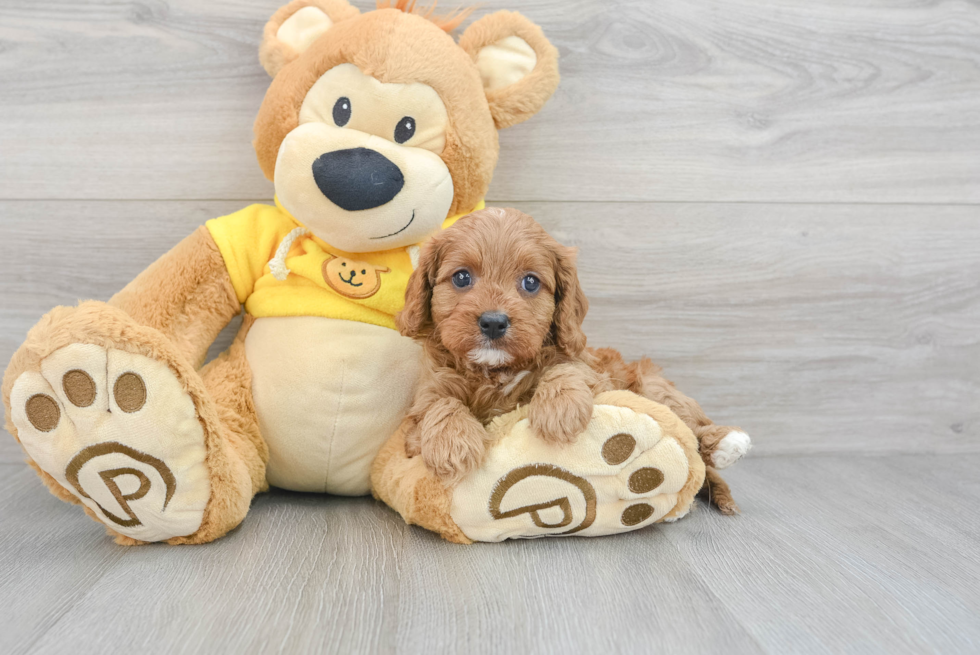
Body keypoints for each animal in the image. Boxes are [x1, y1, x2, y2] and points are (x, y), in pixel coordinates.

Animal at [394, 208, 748, 516]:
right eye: (462, 278)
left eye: (531, 282)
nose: (493, 323)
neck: (495, 371)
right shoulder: (424, 400)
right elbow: (439, 405)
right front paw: (453, 444)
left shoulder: (591, 368)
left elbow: (566, 367)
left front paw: (558, 409)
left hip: (653, 385)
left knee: (691, 432)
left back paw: (724, 445)